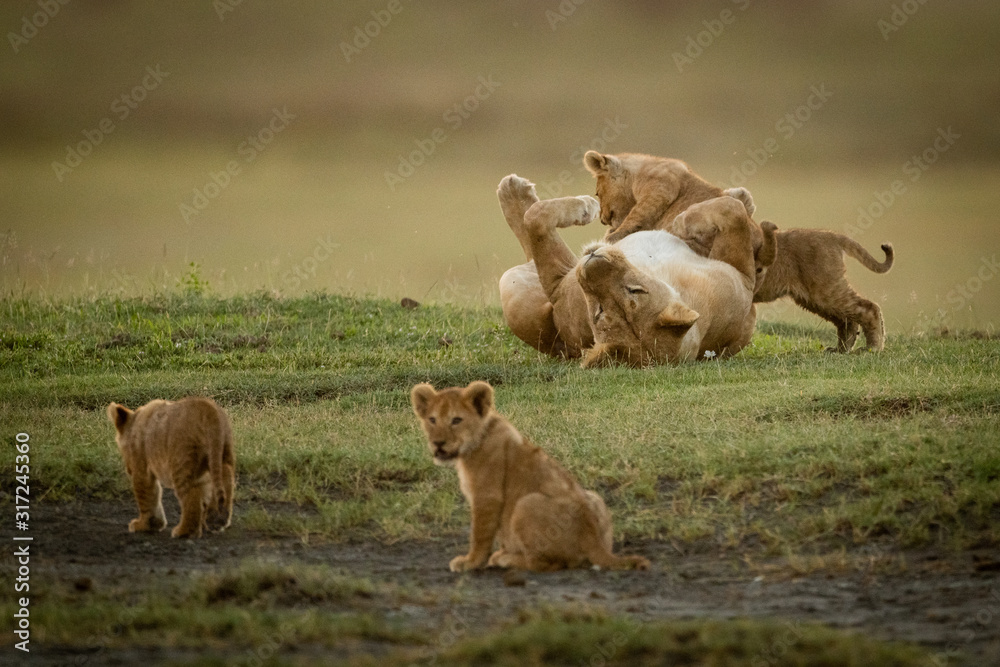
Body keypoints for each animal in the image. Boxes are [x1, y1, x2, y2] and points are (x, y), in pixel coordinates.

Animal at [107, 397, 236, 538]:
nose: (128, 469)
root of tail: (208, 409)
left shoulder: (141, 468)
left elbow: (147, 496)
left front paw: (145, 525)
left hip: (181, 463)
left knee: (192, 496)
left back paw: (184, 531)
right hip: (222, 456)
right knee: (226, 483)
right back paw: (217, 520)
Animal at [410, 380, 649, 572]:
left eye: (456, 420)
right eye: (432, 419)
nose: (438, 443)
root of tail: (592, 538)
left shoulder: (487, 496)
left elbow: (480, 534)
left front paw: (470, 562)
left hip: (526, 503)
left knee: (548, 564)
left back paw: (506, 560)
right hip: (594, 497)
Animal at [497, 174, 776, 366]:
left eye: (635, 291)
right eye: (598, 311)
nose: (591, 263)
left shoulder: (741, 278)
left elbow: (535, 220)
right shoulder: (741, 275)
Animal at [754, 229, 894, 352]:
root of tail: (834, 237)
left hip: (825, 291)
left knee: (869, 309)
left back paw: (872, 348)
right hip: (817, 299)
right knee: (847, 320)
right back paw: (841, 350)